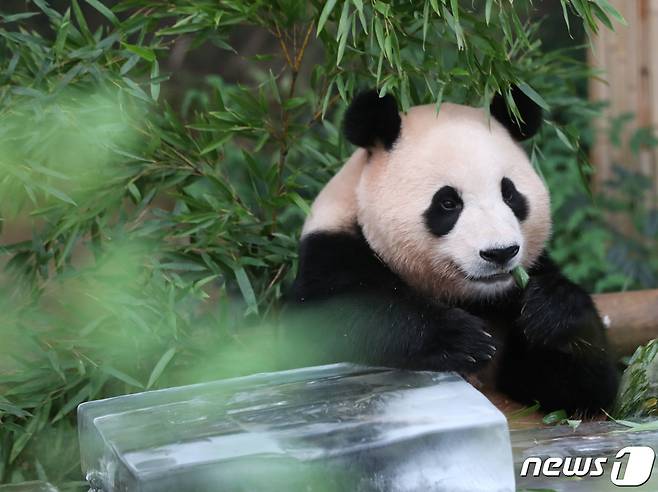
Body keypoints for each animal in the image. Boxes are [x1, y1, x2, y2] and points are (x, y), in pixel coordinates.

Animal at [284, 88, 616, 416]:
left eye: (509, 194)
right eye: (448, 203)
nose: (500, 253)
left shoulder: (519, 288)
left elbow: (579, 387)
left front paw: (552, 310)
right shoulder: (332, 252)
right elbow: (328, 321)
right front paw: (464, 340)